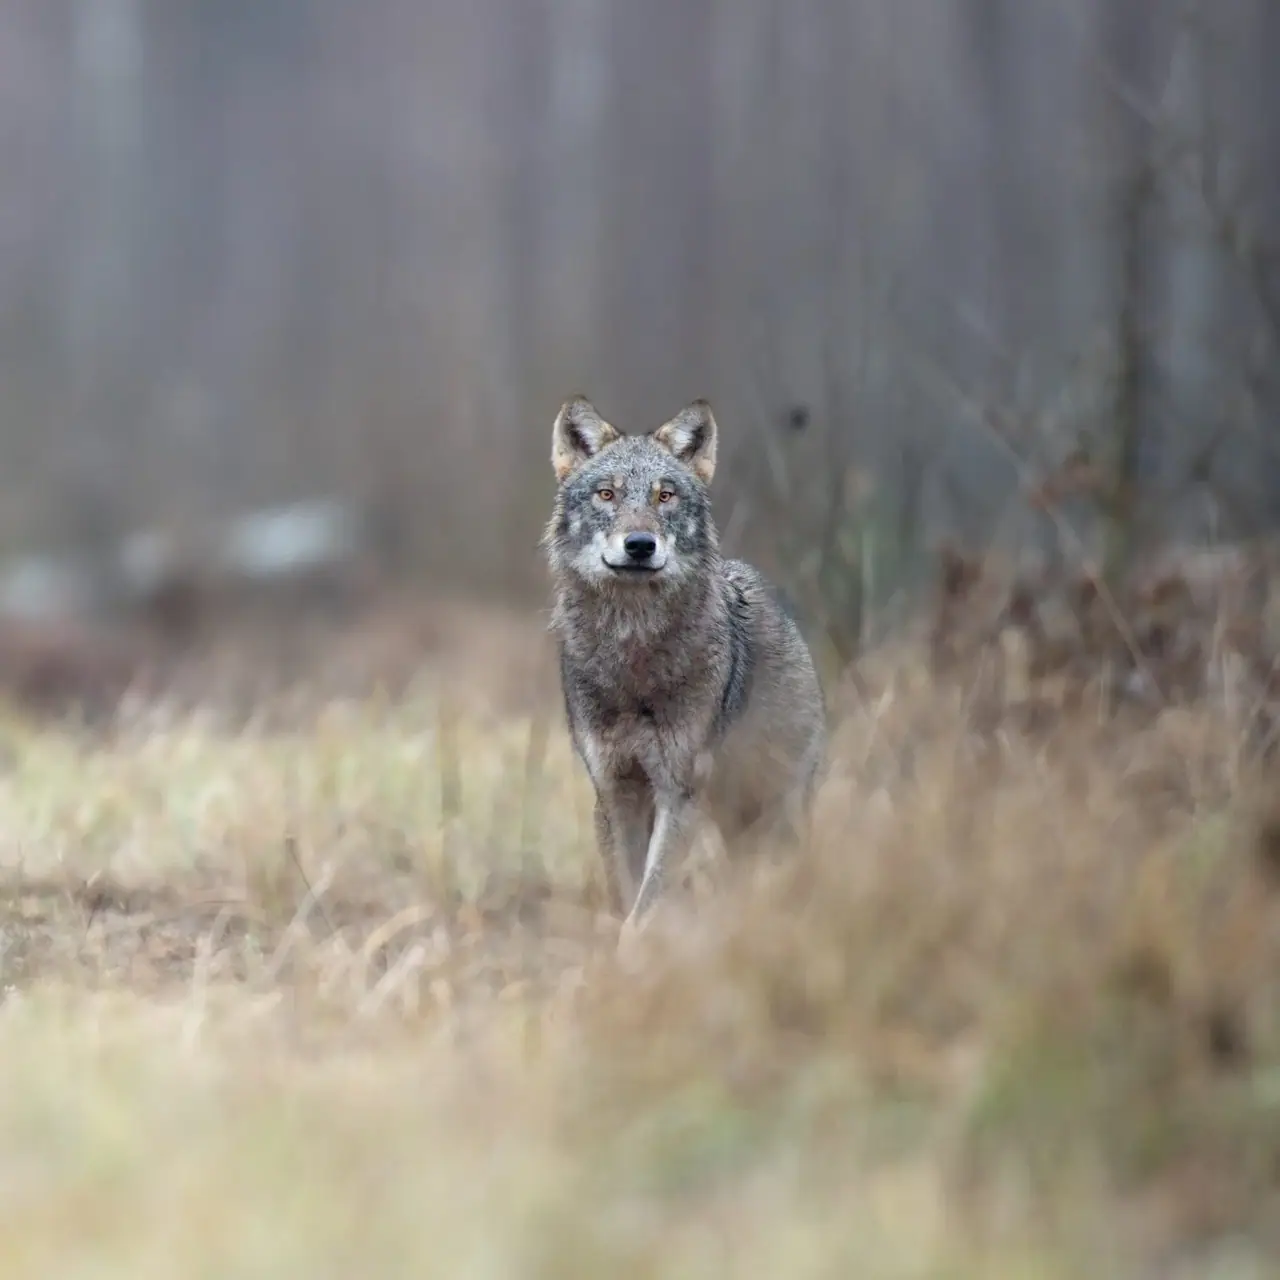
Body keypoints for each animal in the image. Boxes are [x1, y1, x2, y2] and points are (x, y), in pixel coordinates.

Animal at [542, 395, 827, 931]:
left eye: (665, 496)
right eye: (607, 495)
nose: (639, 544)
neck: (634, 657)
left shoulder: (680, 792)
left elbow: (646, 904)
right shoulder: (614, 791)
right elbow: (627, 894)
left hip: (775, 811)